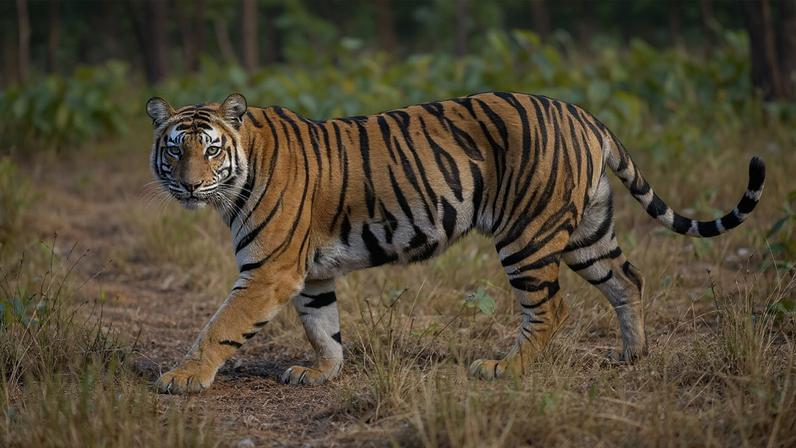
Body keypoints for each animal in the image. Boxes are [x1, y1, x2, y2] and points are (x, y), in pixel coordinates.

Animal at [146, 92, 765, 394]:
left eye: (210, 148)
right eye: (175, 149)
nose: (190, 184)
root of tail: (582, 113)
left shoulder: (269, 270)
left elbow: (220, 326)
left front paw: (182, 378)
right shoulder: (312, 272)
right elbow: (324, 327)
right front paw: (321, 374)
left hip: (528, 234)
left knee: (551, 308)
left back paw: (504, 369)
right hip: (588, 231)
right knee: (628, 279)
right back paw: (633, 355)